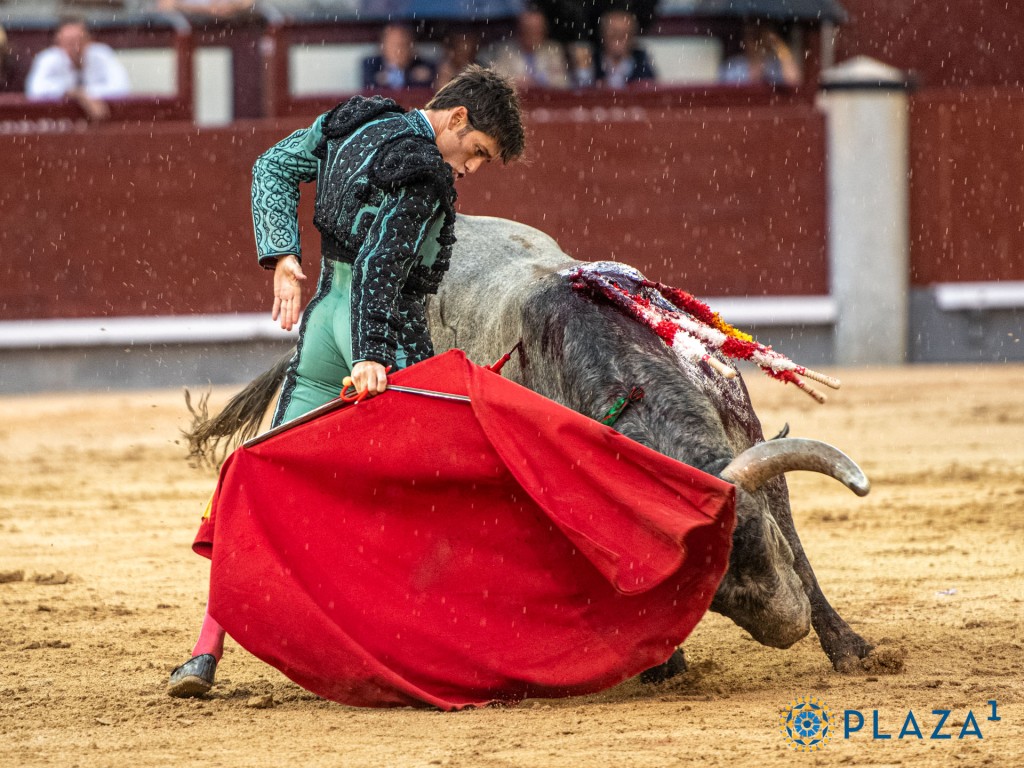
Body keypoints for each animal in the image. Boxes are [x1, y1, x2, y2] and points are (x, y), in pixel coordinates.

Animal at [185, 214, 874, 678]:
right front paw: (663, 659)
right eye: (709, 594)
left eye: (757, 536)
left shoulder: (748, 435)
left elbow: (799, 546)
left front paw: (851, 649)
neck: (628, 374)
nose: (787, 629)